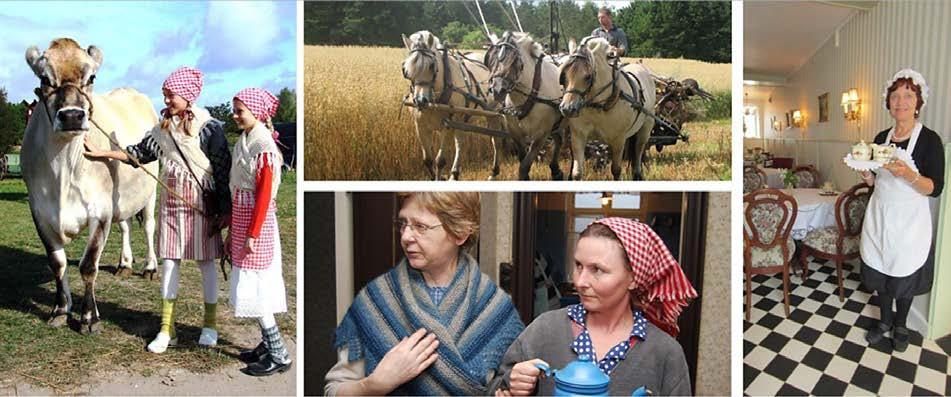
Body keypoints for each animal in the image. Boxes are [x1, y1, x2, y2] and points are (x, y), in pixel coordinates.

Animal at [22, 38, 158, 332]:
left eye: (91, 77)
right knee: (126, 226)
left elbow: (88, 265)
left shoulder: (100, 211)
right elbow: (57, 263)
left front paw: (89, 317)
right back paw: (124, 263)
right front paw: (60, 310)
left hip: (151, 190)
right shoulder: (39, 211)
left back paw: (150, 268)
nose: (72, 116)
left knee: (150, 226)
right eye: (44, 78)